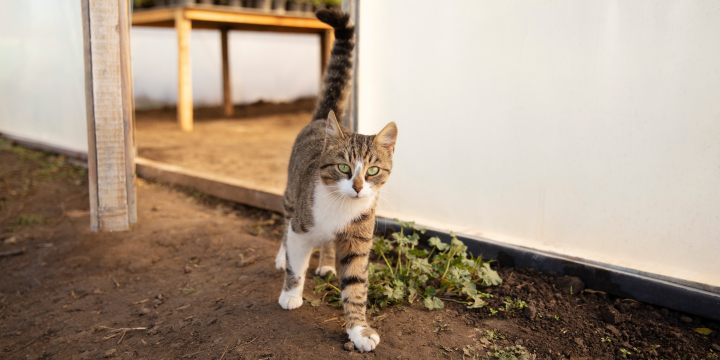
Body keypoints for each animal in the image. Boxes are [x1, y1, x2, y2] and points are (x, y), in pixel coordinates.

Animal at [274, 7, 400, 352]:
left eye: (372, 171)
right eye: (344, 168)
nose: (357, 187)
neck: (340, 207)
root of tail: (321, 119)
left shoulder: (358, 240)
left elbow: (355, 286)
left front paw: (359, 330)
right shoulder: (300, 230)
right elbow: (295, 263)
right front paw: (290, 293)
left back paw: (328, 263)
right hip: (291, 195)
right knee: (284, 222)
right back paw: (281, 256)